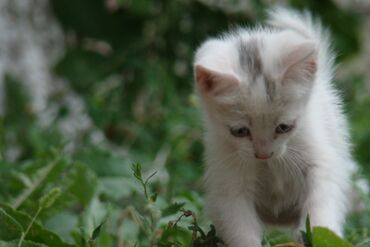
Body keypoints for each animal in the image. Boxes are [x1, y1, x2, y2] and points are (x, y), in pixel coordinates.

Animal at [194, 7, 356, 247]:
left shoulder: (319, 154)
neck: (271, 165)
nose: (263, 154)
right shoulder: (228, 176)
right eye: (240, 131)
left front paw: (322, 233)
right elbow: (238, 222)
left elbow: (321, 199)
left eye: (284, 127)